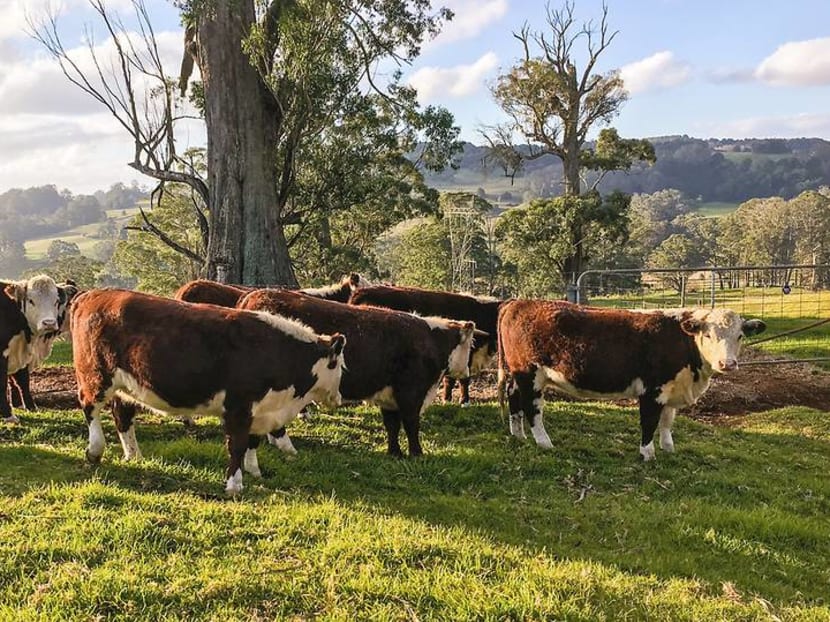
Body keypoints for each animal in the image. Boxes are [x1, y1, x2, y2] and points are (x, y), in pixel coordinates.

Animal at [68, 288, 348, 498]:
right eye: (338, 365)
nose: (339, 397)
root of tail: (92, 294)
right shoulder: (238, 408)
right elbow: (237, 445)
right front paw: (235, 484)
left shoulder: (260, 410)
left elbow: (252, 442)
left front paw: (254, 471)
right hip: (95, 376)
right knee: (90, 407)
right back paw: (95, 450)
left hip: (127, 386)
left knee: (122, 416)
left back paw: (134, 454)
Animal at [237, 292, 480, 458]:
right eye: (469, 346)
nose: (467, 371)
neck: (429, 341)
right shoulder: (410, 395)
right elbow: (411, 424)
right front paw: (416, 453)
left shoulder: (390, 398)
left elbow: (392, 425)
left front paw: (395, 452)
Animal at [498, 302, 772, 464]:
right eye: (708, 334)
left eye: (740, 335)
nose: (728, 364)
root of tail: (519, 302)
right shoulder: (652, 390)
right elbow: (650, 422)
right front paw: (647, 454)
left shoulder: (672, 388)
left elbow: (667, 421)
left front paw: (668, 447)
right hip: (530, 375)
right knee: (532, 408)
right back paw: (544, 442)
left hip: (518, 375)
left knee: (514, 399)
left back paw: (518, 435)